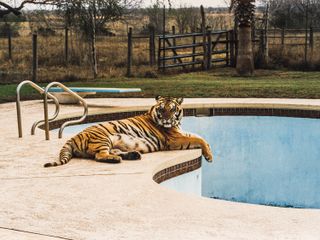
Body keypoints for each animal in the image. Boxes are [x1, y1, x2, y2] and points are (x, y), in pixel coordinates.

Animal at [42, 95, 212, 167]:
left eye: (172, 110)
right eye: (162, 109)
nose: (166, 120)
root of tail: (73, 137)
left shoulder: (181, 133)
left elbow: (200, 137)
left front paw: (209, 151)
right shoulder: (175, 139)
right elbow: (198, 139)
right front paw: (209, 157)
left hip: (113, 143)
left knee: (111, 152)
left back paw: (133, 155)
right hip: (103, 139)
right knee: (99, 156)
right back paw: (116, 159)